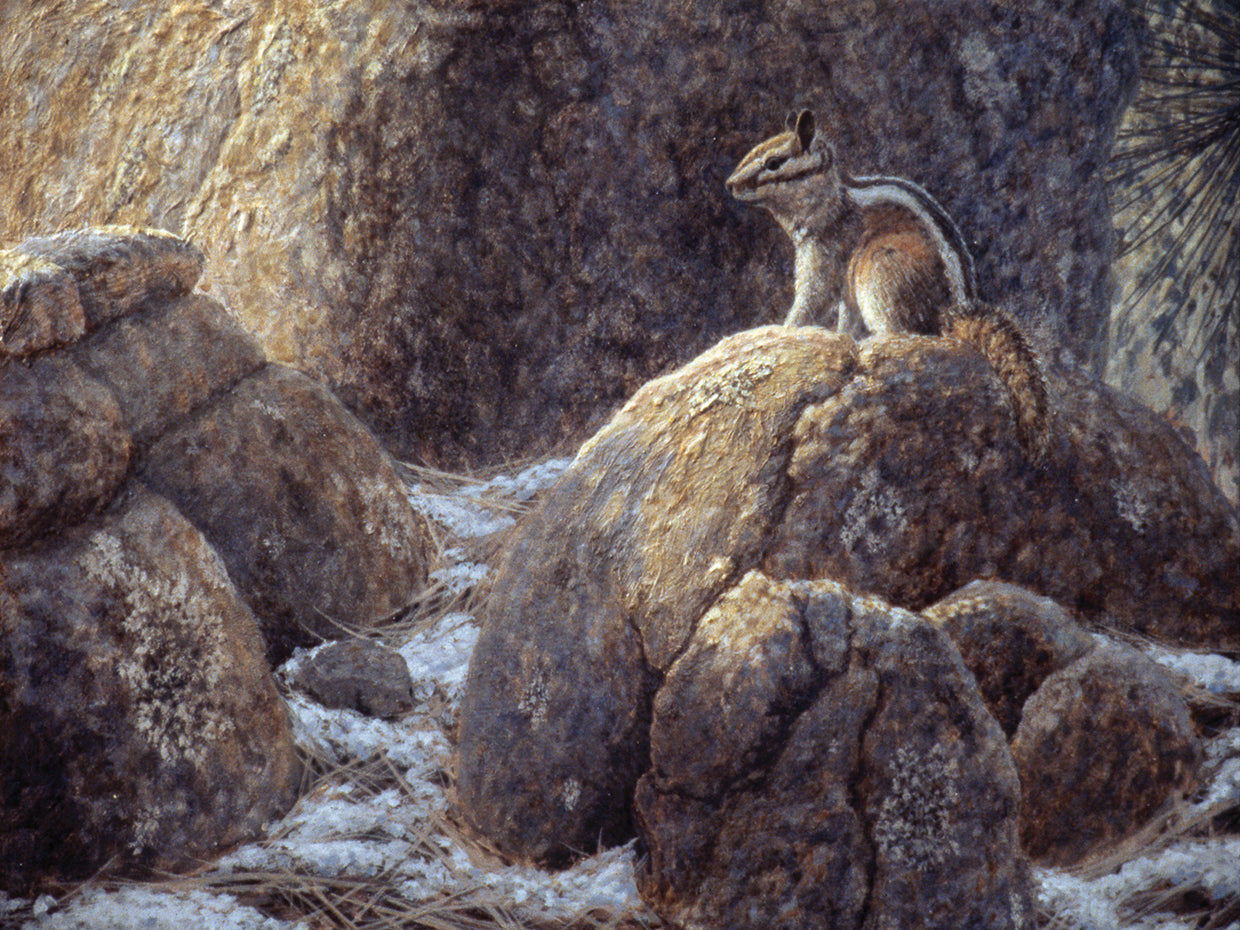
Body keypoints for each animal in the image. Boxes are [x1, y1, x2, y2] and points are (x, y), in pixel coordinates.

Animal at [727, 109, 1050, 462]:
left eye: (773, 162)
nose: (729, 184)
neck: (830, 199)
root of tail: (949, 315)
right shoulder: (847, 291)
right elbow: (845, 320)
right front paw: (841, 338)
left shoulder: (824, 254)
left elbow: (812, 300)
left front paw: (786, 329)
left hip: (880, 269)